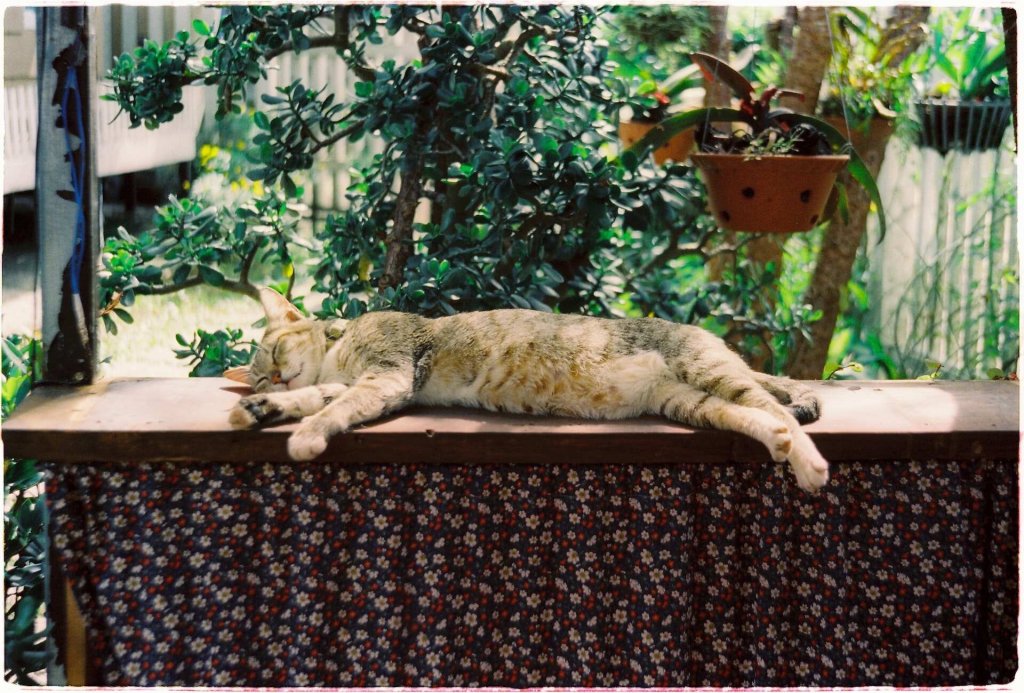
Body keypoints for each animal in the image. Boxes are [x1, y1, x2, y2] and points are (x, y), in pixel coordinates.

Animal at [228, 288, 827, 489]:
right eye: (259, 374)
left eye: (274, 353)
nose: (272, 377)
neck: (339, 348)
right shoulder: (369, 383)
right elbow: (313, 400)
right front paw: (259, 410)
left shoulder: (388, 374)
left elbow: (332, 408)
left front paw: (306, 435)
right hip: (689, 401)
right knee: (761, 417)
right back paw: (778, 444)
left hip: (708, 370)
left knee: (780, 411)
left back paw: (810, 465)